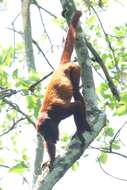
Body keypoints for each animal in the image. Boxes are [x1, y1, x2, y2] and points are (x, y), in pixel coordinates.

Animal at [35, 10, 91, 168]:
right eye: (44, 136)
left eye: (47, 132)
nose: (50, 139)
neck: (49, 116)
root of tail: (61, 66)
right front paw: (51, 160)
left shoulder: (59, 111)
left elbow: (76, 106)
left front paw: (80, 129)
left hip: (74, 69)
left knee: (77, 93)